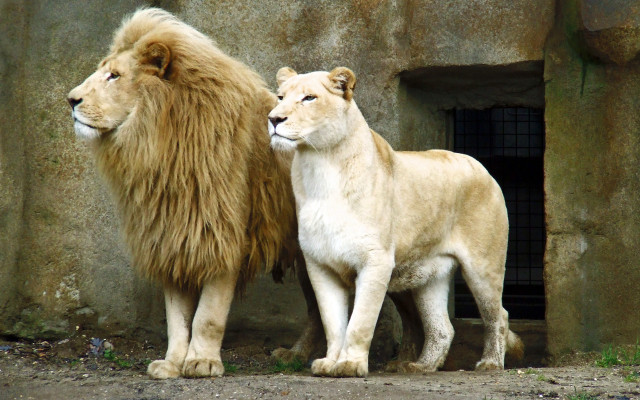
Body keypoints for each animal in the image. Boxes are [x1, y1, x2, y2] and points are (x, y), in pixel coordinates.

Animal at [66, 8, 323, 379]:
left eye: (114, 75)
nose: (70, 99)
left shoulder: (223, 235)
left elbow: (207, 316)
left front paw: (202, 361)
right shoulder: (172, 236)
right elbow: (177, 319)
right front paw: (172, 363)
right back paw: (295, 355)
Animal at [268, 67, 524, 378]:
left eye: (309, 98)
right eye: (280, 97)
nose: (274, 119)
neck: (319, 166)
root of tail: (481, 167)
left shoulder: (375, 260)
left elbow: (360, 321)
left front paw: (351, 365)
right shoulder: (320, 264)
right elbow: (333, 322)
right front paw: (330, 363)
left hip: (483, 267)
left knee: (499, 315)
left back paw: (490, 363)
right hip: (430, 275)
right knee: (442, 328)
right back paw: (419, 366)